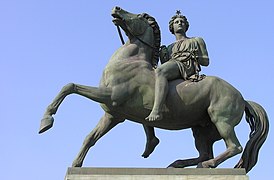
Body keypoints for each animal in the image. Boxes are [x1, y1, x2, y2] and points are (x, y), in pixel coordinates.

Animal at [38, 6, 268, 173]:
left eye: (140, 15)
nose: (116, 8)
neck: (130, 61)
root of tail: (243, 98)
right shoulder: (113, 115)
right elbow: (90, 137)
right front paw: (76, 164)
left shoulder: (111, 97)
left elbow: (70, 86)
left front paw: (46, 121)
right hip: (201, 129)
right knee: (206, 153)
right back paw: (178, 164)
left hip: (220, 120)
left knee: (233, 147)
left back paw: (204, 165)